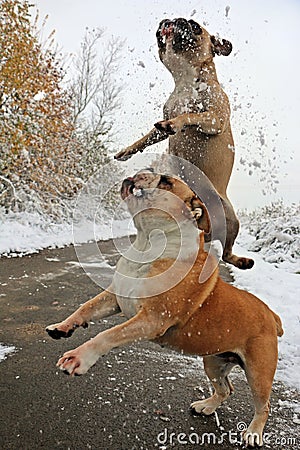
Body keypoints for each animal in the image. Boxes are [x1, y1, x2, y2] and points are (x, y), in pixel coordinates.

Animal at [46, 171, 282, 448]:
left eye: (167, 182)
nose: (141, 171)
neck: (147, 242)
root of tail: (271, 315)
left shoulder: (152, 319)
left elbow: (107, 335)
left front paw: (79, 358)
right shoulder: (115, 297)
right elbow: (86, 308)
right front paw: (62, 327)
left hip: (258, 372)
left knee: (263, 405)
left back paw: (253, 433)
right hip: (214, 361)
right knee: (225, 389)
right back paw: (206, 406)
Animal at [115, 18, 253, 270]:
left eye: (195, 26)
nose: (171, 20)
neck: (185, 79)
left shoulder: (214, 118)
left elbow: (189, 115)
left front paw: (174, 123)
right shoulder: (160, 126)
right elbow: (147, 136)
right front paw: (128, 150)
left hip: (232, 218)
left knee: (227, 252)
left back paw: (241, 261)